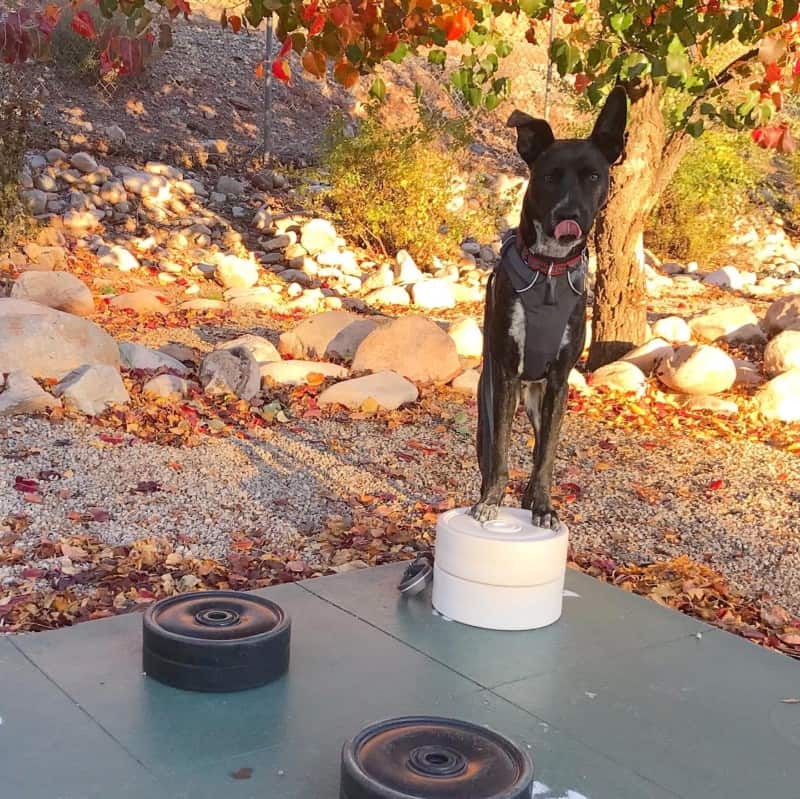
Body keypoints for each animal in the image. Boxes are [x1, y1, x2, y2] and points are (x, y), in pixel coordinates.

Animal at [472, 87, 628, 532]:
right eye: (548, 176)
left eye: (593, 176)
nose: (568, 216)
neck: (549, 273)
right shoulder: (505, 376)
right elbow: (500, 452)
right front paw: (491, 501)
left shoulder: (560, 382)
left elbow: (546, 457)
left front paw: (542, 505)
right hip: (496, 396)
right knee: (491, 450)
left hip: (542, 401)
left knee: (542, 446)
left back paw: (531, 498)